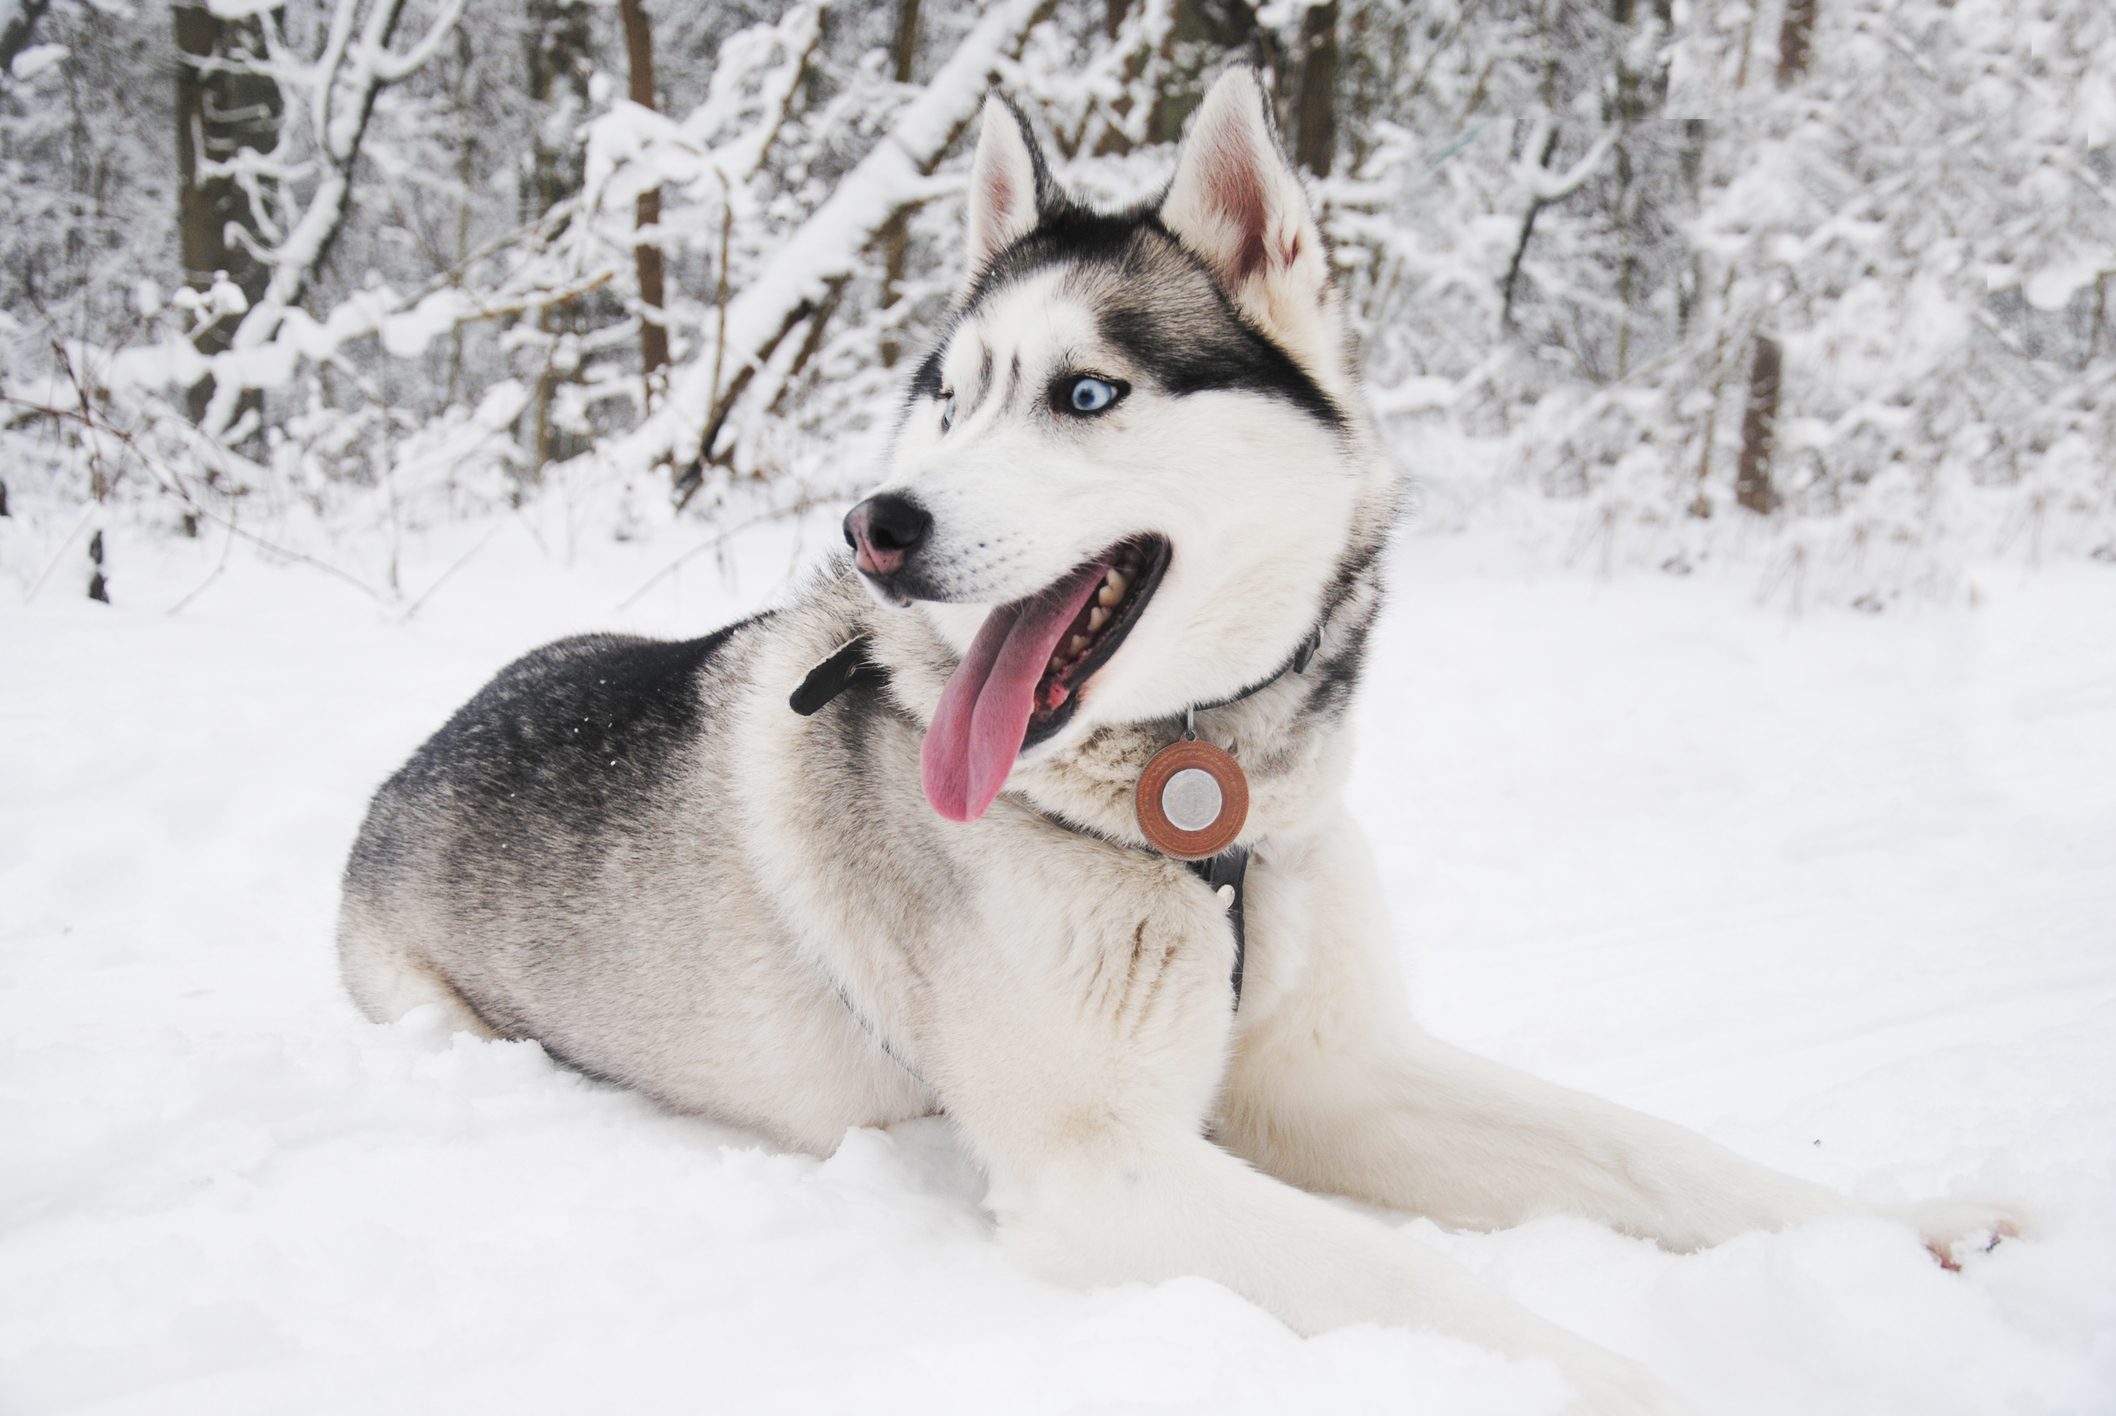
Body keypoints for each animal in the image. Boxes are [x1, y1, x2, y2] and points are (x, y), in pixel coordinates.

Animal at [334, 71, 2014, 1405]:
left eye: (1086, 394)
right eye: (949, 399)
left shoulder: (1336, 1074)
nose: (875, 524)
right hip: (443, 1018)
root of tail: (420, 749)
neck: (1193, 810)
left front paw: (1914, 1230)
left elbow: (1653, 1151)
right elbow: (1420, 1280)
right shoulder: (1108, 1172)